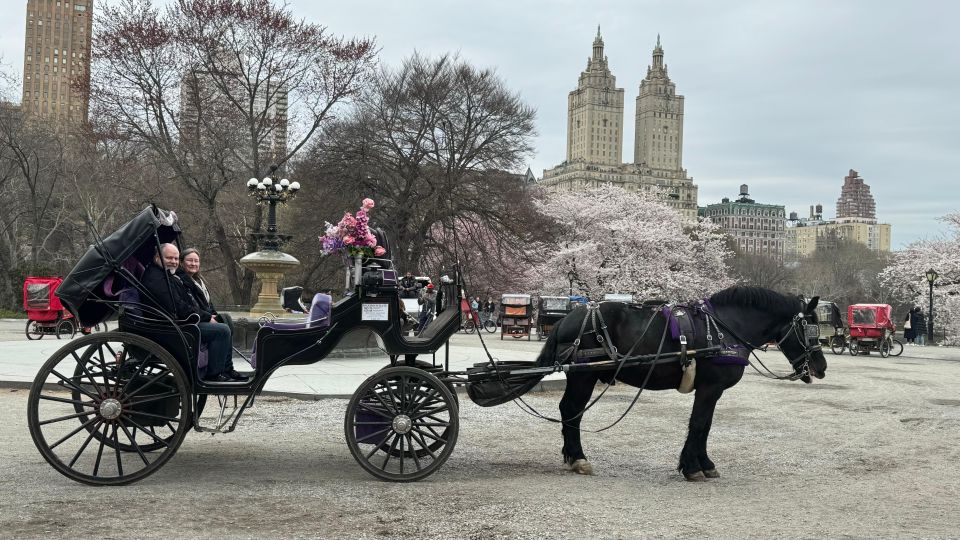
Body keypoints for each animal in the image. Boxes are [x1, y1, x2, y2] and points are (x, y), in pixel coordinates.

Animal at [532, 286, 824, 480]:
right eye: (809, 329)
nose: (821, 367)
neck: (724, 328)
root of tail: (566, 319)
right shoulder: (710, 389)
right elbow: (699, 424)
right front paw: (694, 467)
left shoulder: (711, 391)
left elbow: (705, 426)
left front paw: (702, 464)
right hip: (584, 376)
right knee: (572, 411)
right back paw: (578, 458)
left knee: (569, 410)